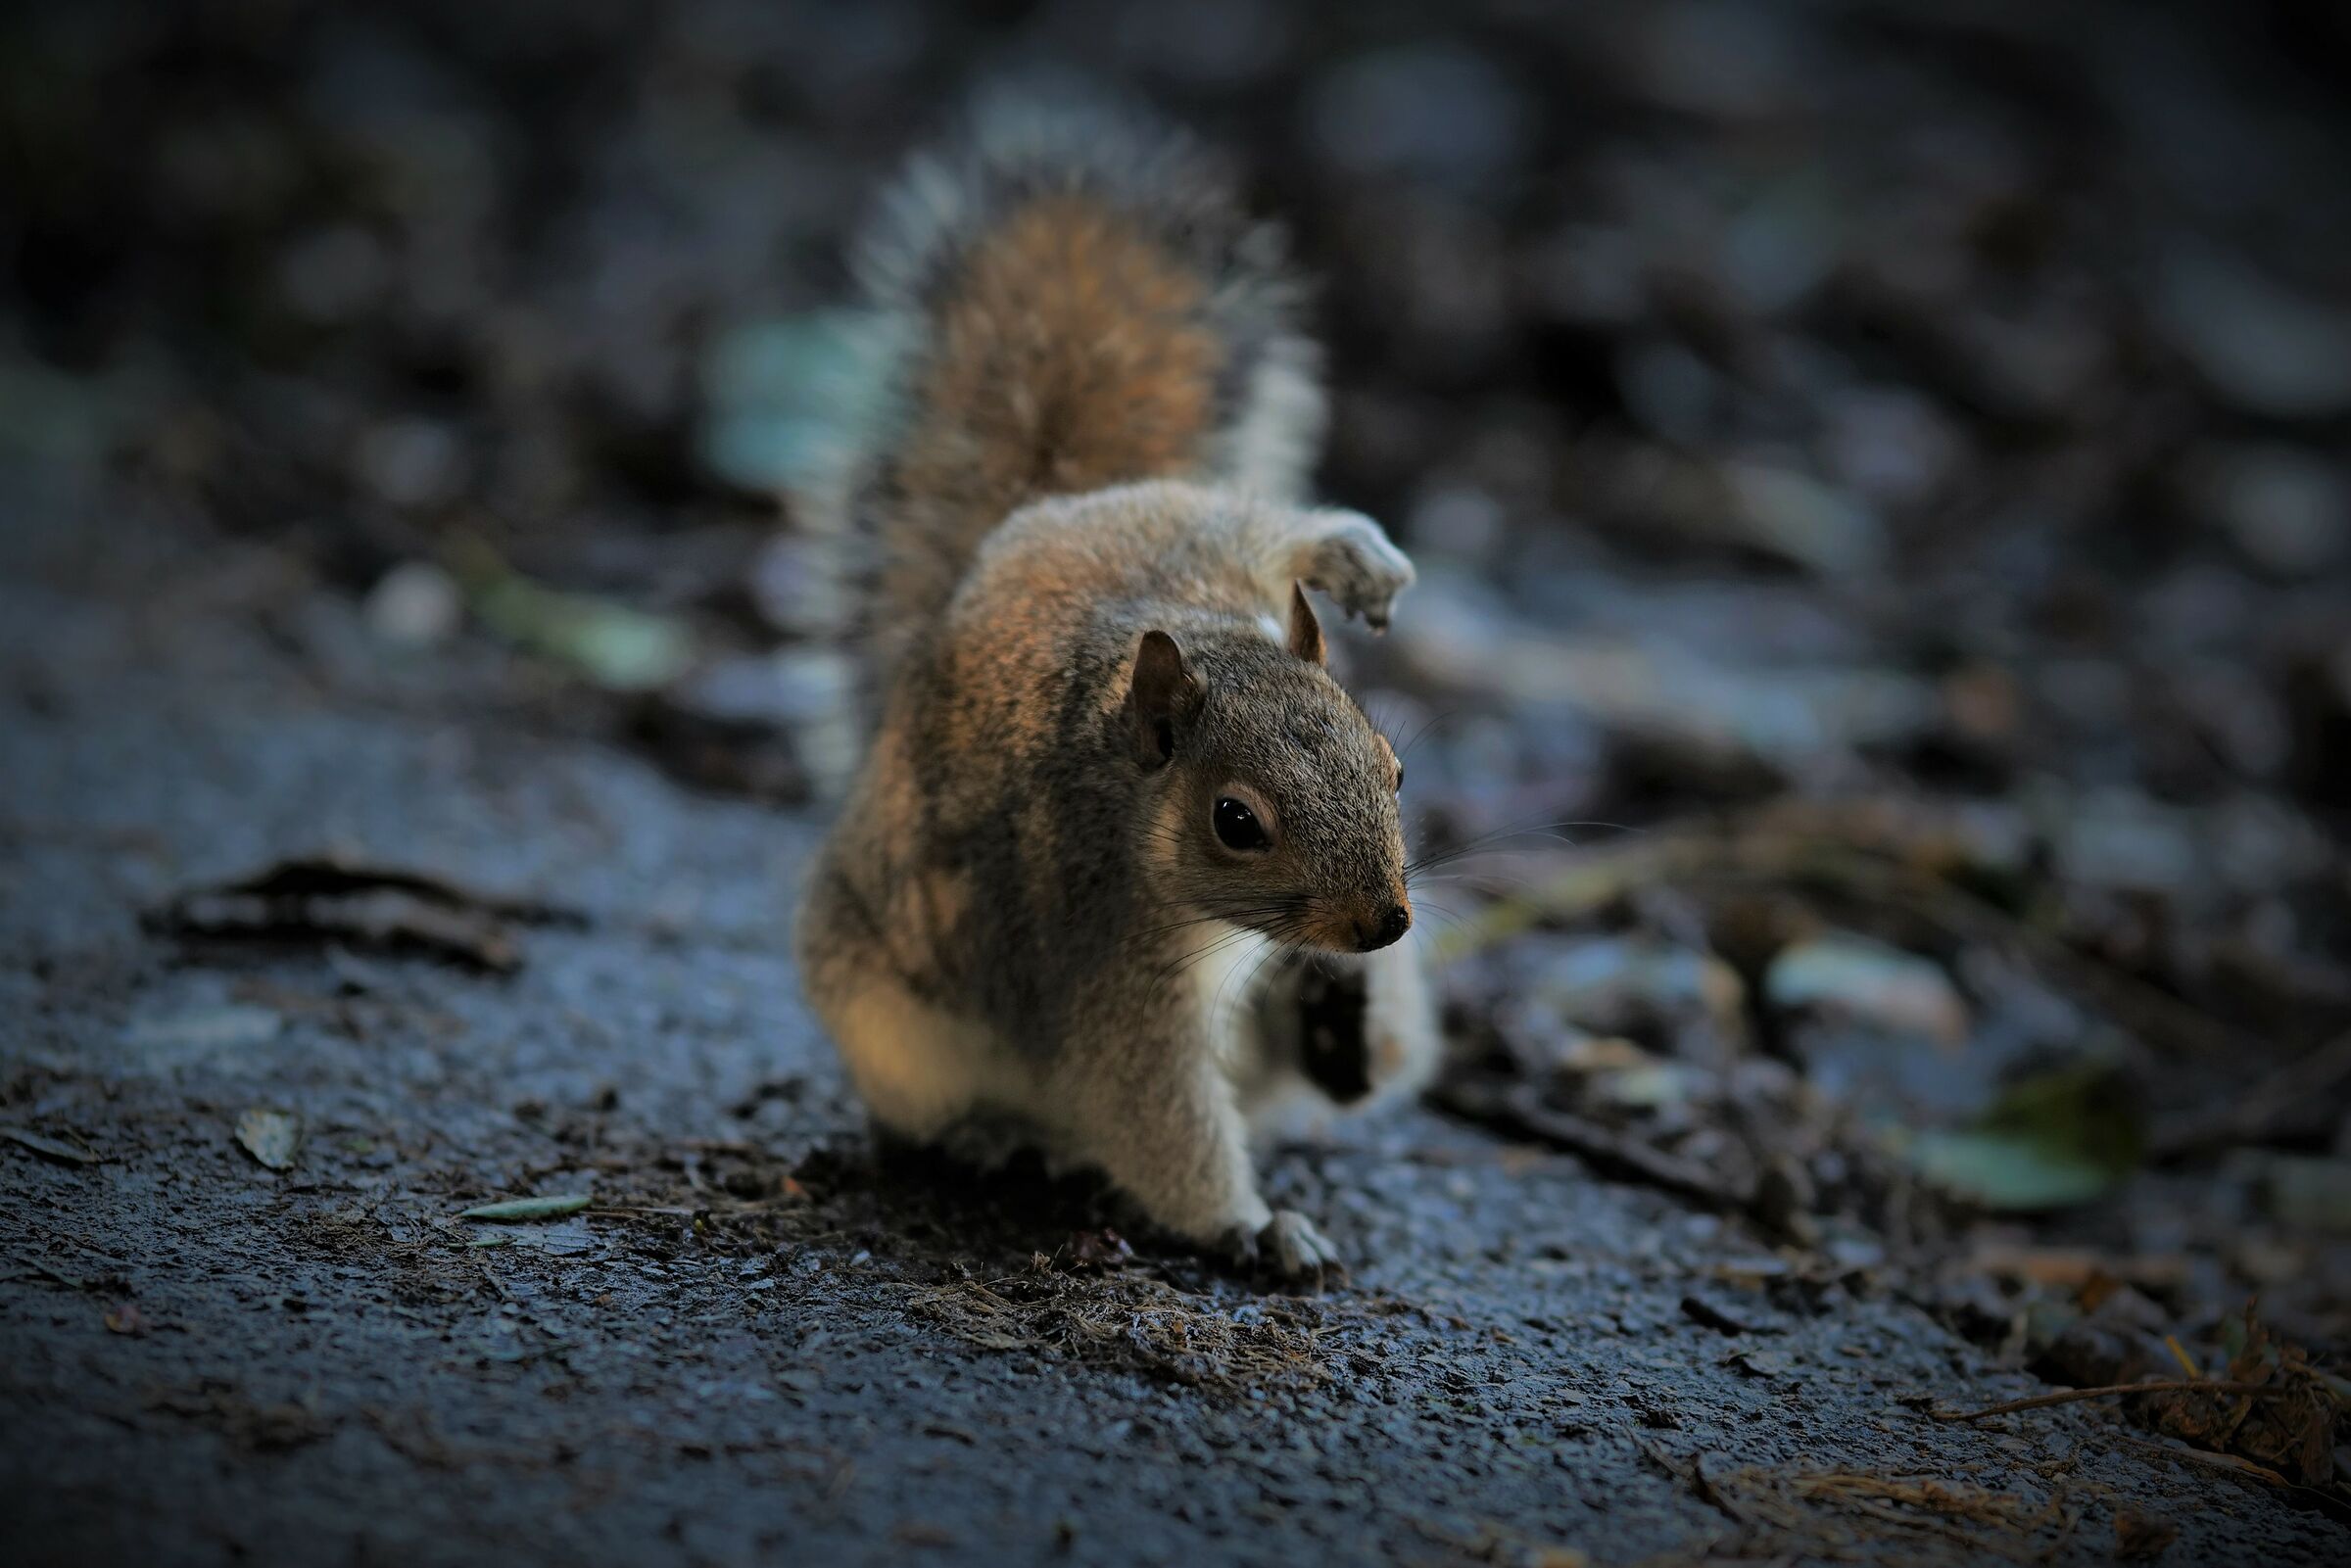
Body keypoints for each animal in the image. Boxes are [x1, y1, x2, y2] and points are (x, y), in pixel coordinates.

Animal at [793, 97, 1438, 1279]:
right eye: (1236, 821)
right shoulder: (1100, 939)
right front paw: (1251, 1224)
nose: (1382, 926)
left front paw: (1358, 556)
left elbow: (1254, 523)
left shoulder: (1199, 549)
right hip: (892, 1022)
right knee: (941, 1111)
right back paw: (994, 1136)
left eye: (1397, 768)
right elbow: (1147, 1101)